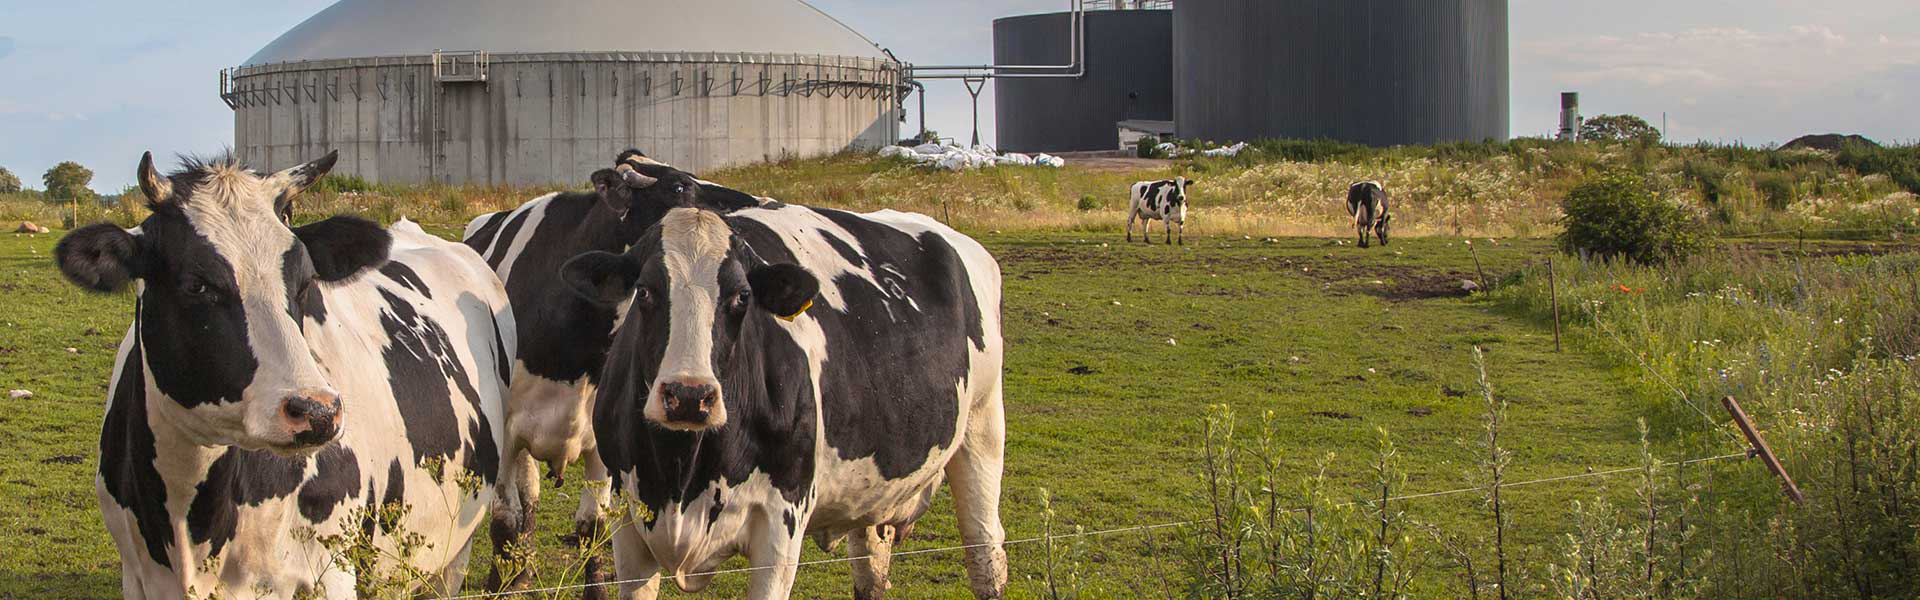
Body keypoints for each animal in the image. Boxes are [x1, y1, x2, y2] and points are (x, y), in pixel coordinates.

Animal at [62, 151, 522, 596]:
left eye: (304, 283)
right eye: (197, 285)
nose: (317, 412)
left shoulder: (332, 572)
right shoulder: (138, 577)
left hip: (454, 547)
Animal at [460, 149, 760, 592]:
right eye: (678, 187)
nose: (750, 207)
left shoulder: (601, 437)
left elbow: (594, 525)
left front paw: (596, 588)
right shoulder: (505, 431)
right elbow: (504, 517)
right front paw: (502, 582)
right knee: (525, 498)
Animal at [560, 166, 1013, 596]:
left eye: (742, 296)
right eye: (645, 291)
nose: (688, 396)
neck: (683, 472)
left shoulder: (781, 526)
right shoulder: (628, 521)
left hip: (983, 429)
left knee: (985, 554)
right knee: (871, 567)